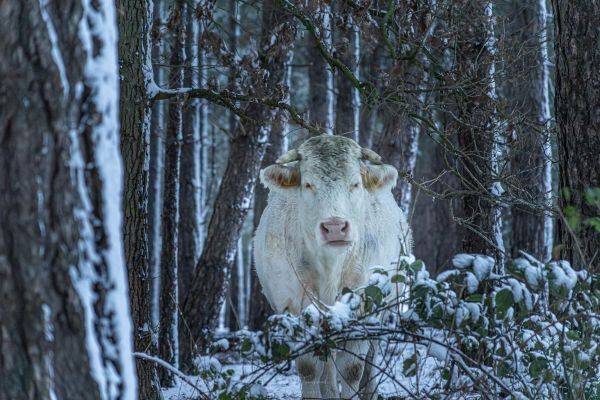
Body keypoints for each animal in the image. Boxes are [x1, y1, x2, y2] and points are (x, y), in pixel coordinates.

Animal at [253, 136, 412, 398]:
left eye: (355, 184)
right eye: (308, 184)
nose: (335, 227)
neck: (330, 267)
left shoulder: (363, 308)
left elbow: (352, 369)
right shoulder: (296, 308)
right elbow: (309, 369)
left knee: (371, 357)